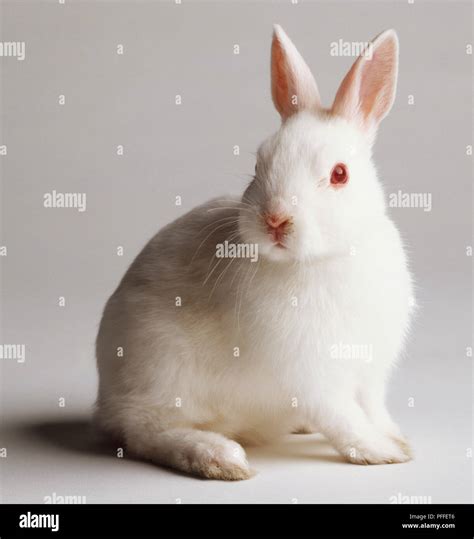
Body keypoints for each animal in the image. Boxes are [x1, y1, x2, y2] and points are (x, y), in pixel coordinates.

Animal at [95, 25, 414, 480]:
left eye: (340, 174)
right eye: (260, 164)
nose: (275, 219)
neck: (324, 259)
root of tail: (105, 400)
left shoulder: (370, 373)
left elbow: (373, 408)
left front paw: (398, 439)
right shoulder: (312, 376)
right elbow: (343, 418)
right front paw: (381, 452)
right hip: (161, 370)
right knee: (146, 431)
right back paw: (219, 457)